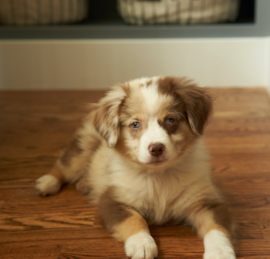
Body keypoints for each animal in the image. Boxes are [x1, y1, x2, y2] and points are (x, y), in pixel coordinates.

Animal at [35, 76, 234, 259]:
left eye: (170, 120)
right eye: (135, 124)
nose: (156, 148)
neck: (158, 176)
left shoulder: (206, 202)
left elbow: (217, 228)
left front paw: (220, 252)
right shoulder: (113, 201)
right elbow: (134, 219)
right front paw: (142, 244)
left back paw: (83, 184)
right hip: (83, 147)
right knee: (64, 164)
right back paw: (47, 182)